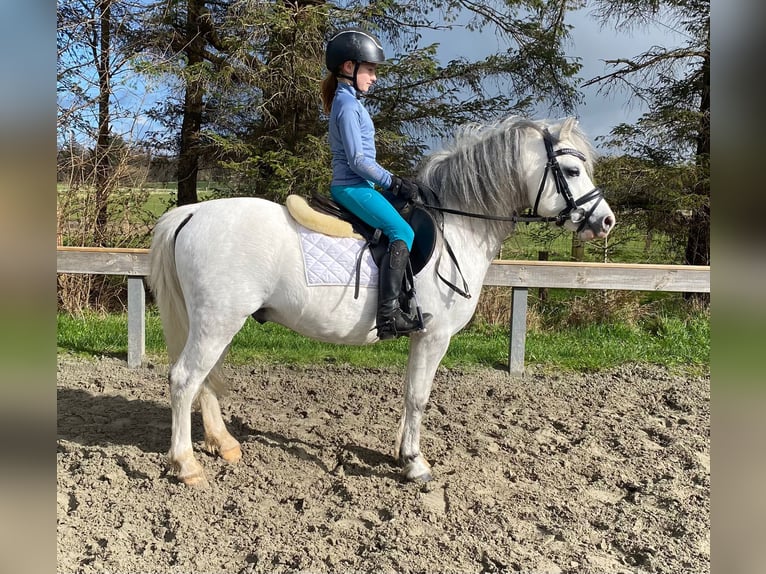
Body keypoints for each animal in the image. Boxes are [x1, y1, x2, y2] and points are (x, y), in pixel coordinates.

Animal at [150, 117, 616, 486]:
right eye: (572, 170)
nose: (606, 221)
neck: (458, 225)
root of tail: (190, 214)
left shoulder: (423, 337)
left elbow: (411, 393)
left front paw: (403, 454)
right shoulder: (435, 336)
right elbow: (419, 397)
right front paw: (414, 463)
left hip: (216, 322)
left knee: (205, 381)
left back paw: (223, 444)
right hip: (217, 321)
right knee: (185, 379)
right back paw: (186, 465)